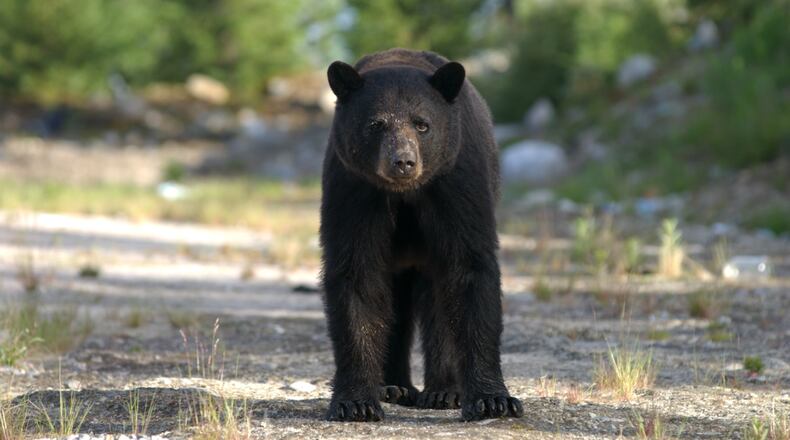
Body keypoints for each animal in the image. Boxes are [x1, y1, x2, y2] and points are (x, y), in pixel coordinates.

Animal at [320, 48, 523, 422]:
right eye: (376, 124)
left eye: (422, 123)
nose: (403, 162)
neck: (405, 194)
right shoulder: (355, 190)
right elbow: (356, 274)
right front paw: (355, 402)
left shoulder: (456, 184)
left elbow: (469, 270)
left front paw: (493, 399)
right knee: (394, 303)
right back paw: (393, 387)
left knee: (437, 305)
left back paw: (444, 390)